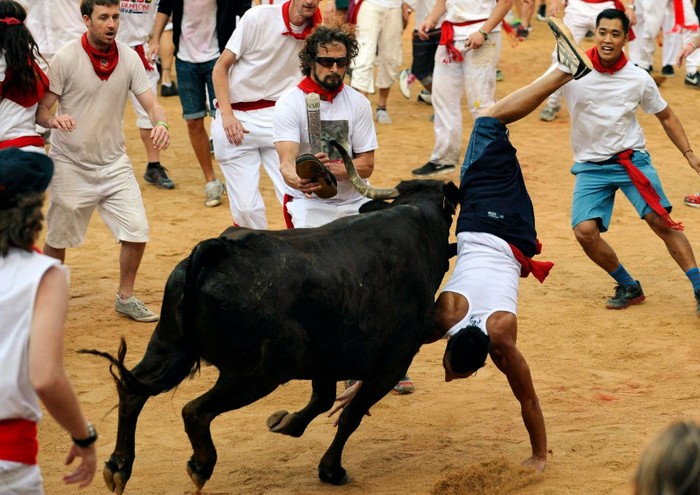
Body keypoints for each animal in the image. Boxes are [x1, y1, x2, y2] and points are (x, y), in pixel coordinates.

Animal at [83, 150, 460, 492]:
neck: (418, 221)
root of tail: (217, 250)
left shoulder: (328, 358)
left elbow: (323, 399)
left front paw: (285, 423)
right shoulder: (393, 361)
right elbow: (350, 414)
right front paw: (331, 470)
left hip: (168, 346)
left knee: (132, 390)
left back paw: (118, 467)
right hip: (258, 372)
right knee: (195, 410)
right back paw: (201, 466)